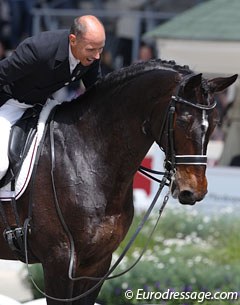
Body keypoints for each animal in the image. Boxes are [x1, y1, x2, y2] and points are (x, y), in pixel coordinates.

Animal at [0, 60, 237, 304]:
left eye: (216, 123)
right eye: (182, 121)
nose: (194, 190)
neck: (86, 154)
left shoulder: (96, 264)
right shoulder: (58, 260)